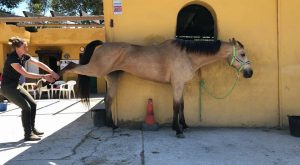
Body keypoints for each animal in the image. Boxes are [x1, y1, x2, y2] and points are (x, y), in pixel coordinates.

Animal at [61, 38, 253, 137]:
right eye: (242, 54)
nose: (249, 73)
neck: (187, 56)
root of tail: (102, 44)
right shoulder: (177, 85)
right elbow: (176, 106)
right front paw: (178, 130)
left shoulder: (180, 85)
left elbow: (182, 106)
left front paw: (185, 125)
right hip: (94, 69)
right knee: (72, 66)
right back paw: (60, 72)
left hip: (112, 78)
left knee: (109, 100)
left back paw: (112, 126)